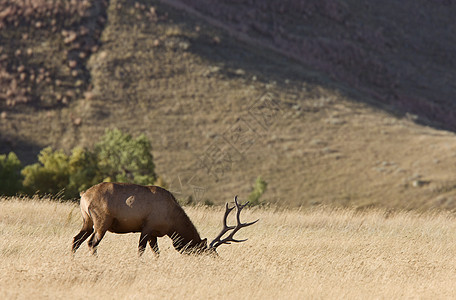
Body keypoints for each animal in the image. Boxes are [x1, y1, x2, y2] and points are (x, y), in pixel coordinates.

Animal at [71, 182, 256, 254]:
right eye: (206, 252)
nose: (217, 259)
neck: (172, 223)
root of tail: (83, 195)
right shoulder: (148, 227)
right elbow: (141, 250)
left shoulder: (154, 234)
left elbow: (156, 252)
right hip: (101, 222)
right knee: (91, 243)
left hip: (86, 221)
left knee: (76, 240)